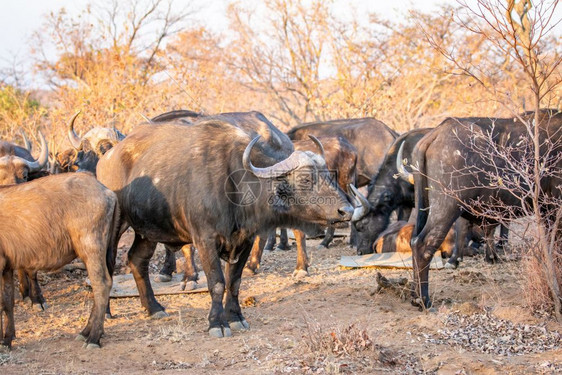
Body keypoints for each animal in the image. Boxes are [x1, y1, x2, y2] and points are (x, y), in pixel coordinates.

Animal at [0, 173, 118, 350]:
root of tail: (106, 191)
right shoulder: (6, 268)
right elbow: (7, 301)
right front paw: (7, 339)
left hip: (91, 249)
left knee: (102, 284)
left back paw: (94, 338)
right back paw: (85, 332)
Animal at [94, 111, 352, 338]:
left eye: (328, 175)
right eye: (306, 178)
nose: (347, 210)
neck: (234, 184)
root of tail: (106, 158)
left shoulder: (245, 240)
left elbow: (234, 282)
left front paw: (236, 317)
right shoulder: (205, 240)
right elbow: (217, 282)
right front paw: (217, 323)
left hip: (147, 231)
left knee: (137, 261)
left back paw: (154, 308)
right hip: (116, 226)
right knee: (107, 264)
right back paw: (105, 314)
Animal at [402, 109, 560, 308]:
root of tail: (438, 131)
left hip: (426, 206)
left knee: (414, 241)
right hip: (447, 207)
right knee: (424, 243)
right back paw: (423, 300)